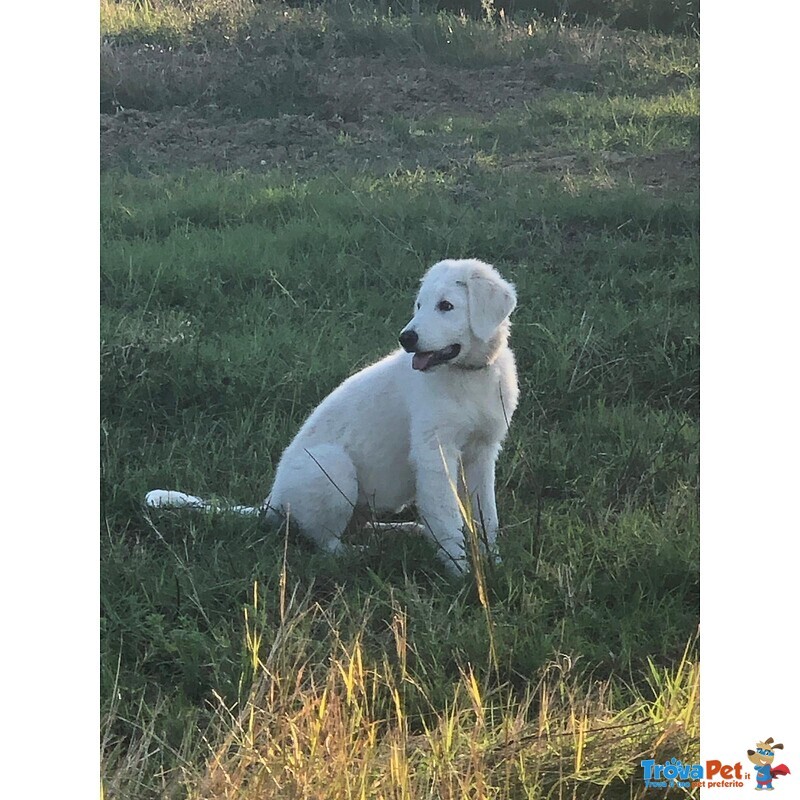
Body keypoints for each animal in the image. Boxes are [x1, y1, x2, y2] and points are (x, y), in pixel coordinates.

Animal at [264, 260, 520, 572]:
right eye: (419, 305)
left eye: (446, 306)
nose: (406, 338)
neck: (467, 376)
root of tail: (271, 503)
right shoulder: (435, 451)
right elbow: (446, 513)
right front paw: (458, 568)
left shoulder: (482, 451)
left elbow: (486, 513)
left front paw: (492, 561)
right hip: (329, 466)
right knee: (325, 544)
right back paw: (358, 553)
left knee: (362, 526)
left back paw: (406, 529)